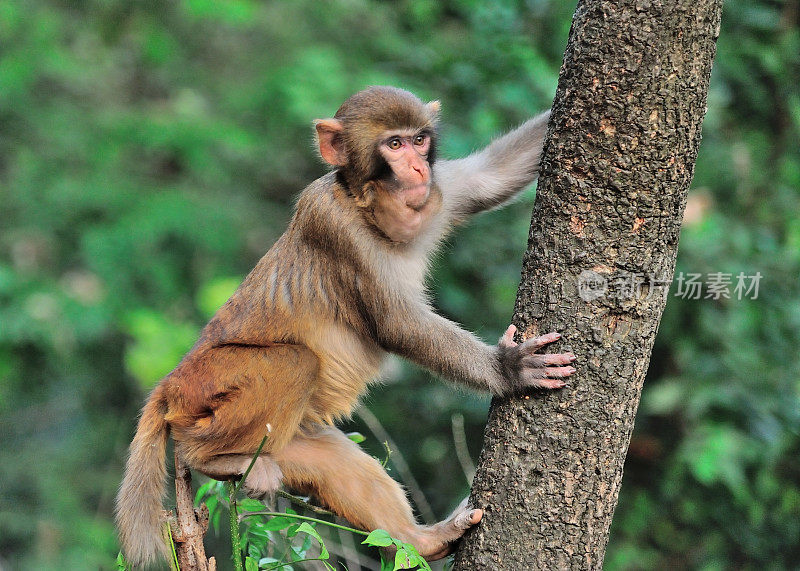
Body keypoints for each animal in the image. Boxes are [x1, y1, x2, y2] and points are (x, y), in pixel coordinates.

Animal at [115, 86, 576, 568]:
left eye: (419, 140)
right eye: (393, 144)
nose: (416, 169)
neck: (368, 205)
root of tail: (171, 382)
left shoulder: (441, 191)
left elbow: (494, 175)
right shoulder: (334, 224)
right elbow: (398, 325)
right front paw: (508, 370)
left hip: (286, 440)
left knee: (332, 462)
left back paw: (423, 540)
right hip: (209, 387)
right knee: (293, 361)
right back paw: (210, 459)